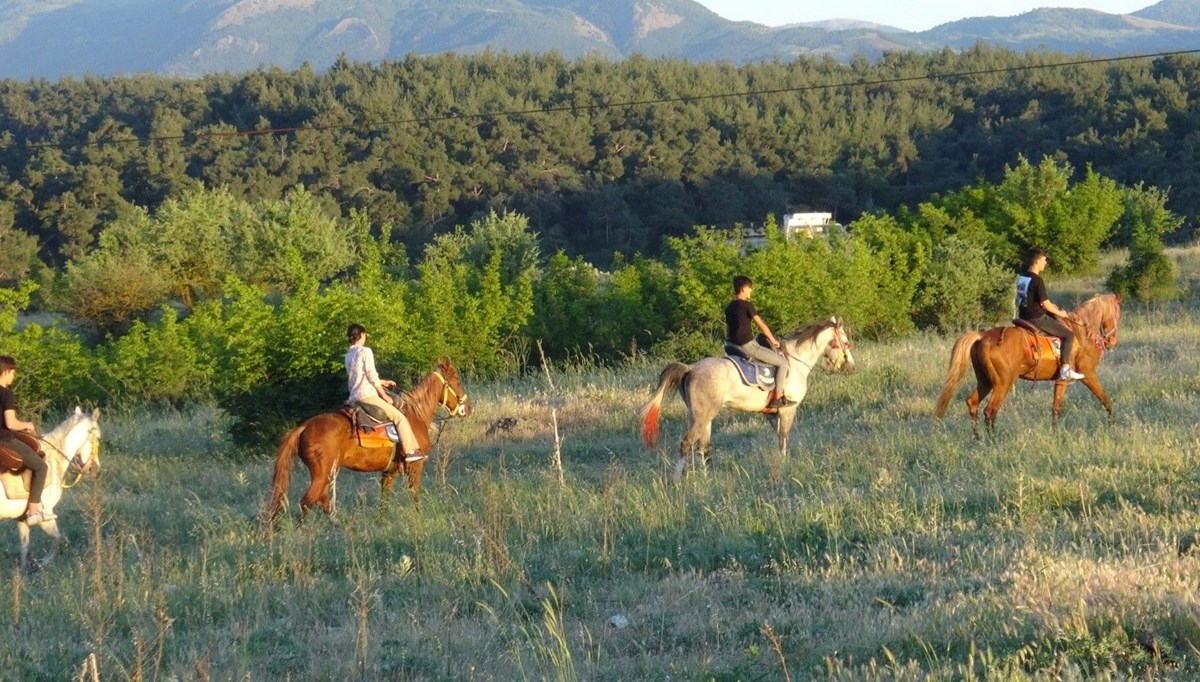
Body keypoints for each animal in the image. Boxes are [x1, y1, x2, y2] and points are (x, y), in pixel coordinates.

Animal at [0, 408, 102, 573]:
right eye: (98, 437)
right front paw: (43, 562)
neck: (54, 458)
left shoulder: (22, 519)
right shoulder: (45, 516)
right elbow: (59, 539)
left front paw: (24, 572)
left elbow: (25, 547)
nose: (95, 469)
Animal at [267, 357, 468, 521]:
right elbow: (414, 495)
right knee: (307, 502)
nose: (468, 407)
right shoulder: (415, 466)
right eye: (457, 382)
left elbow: (384, 501)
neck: (415, 415)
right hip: (322, 474)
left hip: (325, 474)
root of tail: (303, 427)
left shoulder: (389, 472)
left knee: (322, 501)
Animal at [638, 316, 854, 477]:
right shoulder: (788, 410)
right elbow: (783, 440)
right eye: (845, 342)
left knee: (703, 448)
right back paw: (677, 480)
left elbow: (778, 440)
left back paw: (708, 479)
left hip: (704, 417)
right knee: (687, 445)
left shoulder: (771, 415)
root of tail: (690, 368)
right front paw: (785, 465)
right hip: (701, 417)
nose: (850, 366)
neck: (795, 363)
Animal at [931, 292, 1118, 437]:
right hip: (1003, 383)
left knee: (973, 403)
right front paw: (1111, 424)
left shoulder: (1060, 381)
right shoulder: (1087, 375)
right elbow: (1106, 400)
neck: (1082, 334)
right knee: (990, 411)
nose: (1113, 341)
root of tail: (982, 337)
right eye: (1118, 314)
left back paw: (978, 439)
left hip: (985, 381)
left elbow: (1055, 408)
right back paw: (993, 440)